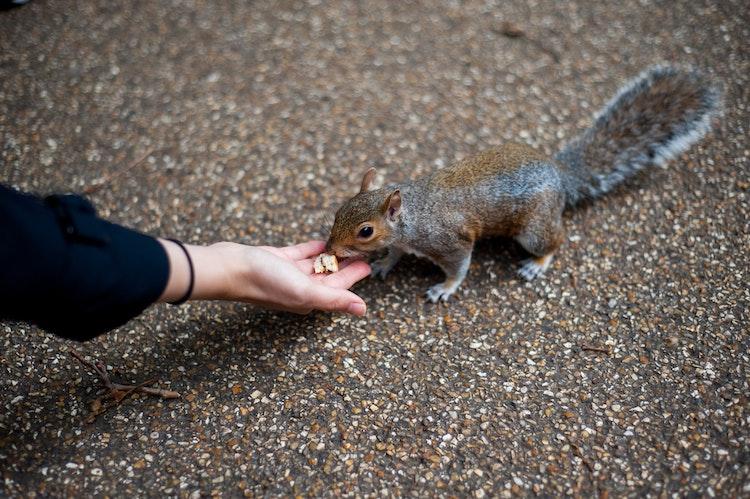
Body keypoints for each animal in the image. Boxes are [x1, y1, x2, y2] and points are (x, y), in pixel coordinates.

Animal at [322, 64, 724, 302]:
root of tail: (559, 174)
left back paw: (537, 264)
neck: (412, 217)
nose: (331, 249)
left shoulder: (451, 241)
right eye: (338, 211)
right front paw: (384, 264)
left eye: (365, 231)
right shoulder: (406, 241)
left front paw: (444, 288)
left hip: (533, 228)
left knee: (555, 241)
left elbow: (459, 267)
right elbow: (396, 252)